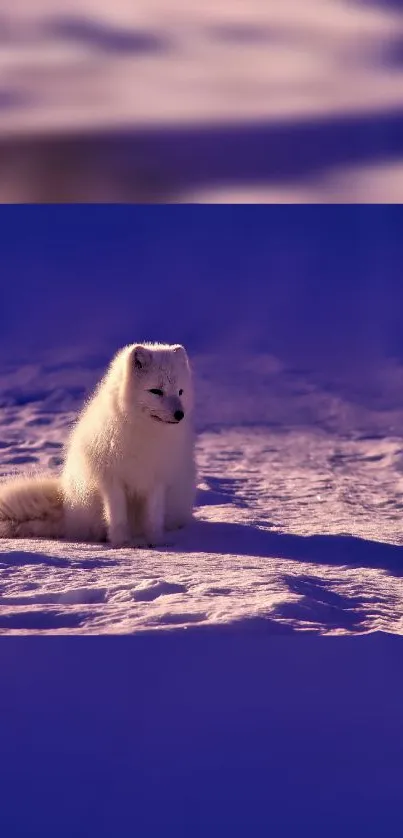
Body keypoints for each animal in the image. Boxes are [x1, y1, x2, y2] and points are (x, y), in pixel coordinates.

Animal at [0, 344, 196, 548]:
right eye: (156, 391)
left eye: (180, 391)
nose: (179, 414)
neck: (145, 434)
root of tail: (66, 506)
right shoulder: (112, 480)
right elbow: (117, 517)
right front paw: (122, 543)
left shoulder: (156, 480)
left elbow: (153, 517)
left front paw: (155, 542)